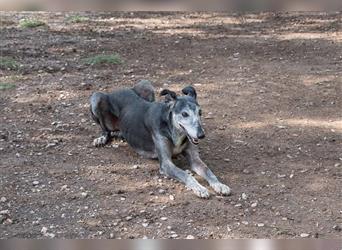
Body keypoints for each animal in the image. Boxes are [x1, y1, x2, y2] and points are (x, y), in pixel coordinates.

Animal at [91, 85, 231, 198]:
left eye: (200, 112)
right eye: (184, 114)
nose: (201, 135)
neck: (172, 128)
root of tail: (118, 89)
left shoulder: (194, 159)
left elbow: (208, 171)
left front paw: (219, 185)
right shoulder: (166, 163)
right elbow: (185, 174)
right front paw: (200, 188)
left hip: (147, 86)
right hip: (96, 98)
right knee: (105, 129)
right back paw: (101, 138)